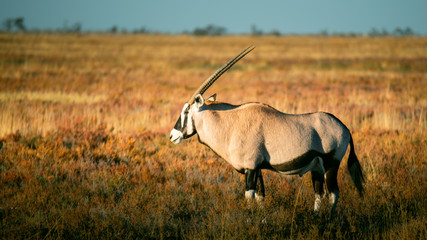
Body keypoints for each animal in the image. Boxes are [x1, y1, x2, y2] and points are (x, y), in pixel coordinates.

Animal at [171, 47, 364, 214]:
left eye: (186, 111)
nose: (172, 136)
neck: (231, 124)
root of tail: (344, 127)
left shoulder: (250, 168)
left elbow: (249, 197)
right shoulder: (257, 169)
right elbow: (260, 197)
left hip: (332, 164)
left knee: (333, 193)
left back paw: (328, 221)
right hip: (316, 168)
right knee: (319, 193)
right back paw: (315, 218)